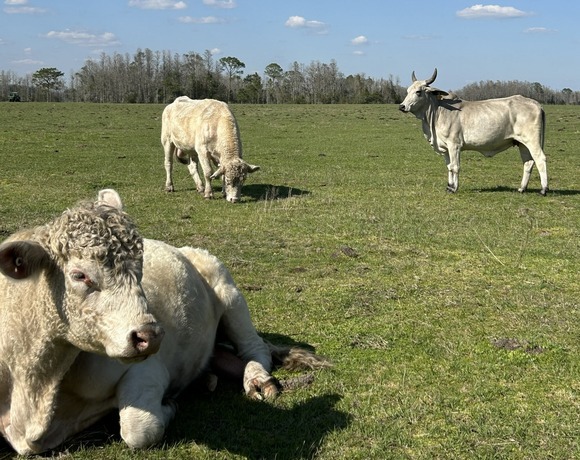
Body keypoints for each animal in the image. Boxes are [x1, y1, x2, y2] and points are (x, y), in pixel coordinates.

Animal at [0, 189, 329, 455]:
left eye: (140, 268)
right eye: (80, 275)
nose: (151, 335)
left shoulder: (146, 369)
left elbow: (138, 429)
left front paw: (169, 405)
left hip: (228, 291)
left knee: (253, 348)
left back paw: (257, 379)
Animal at [399, 69, 549, 195]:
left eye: (418, 92)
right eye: (407, 91)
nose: (402, 106)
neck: (437, 112)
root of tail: (536, 104)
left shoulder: (454, 145)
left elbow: (455, 166)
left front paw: (454, 188)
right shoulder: (445, 148)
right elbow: (449, 166)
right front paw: (449, 186)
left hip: (532, 141)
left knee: (540, 158)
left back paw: (543, 189)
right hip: (522, 143)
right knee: (528, 162)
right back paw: (522, 188)